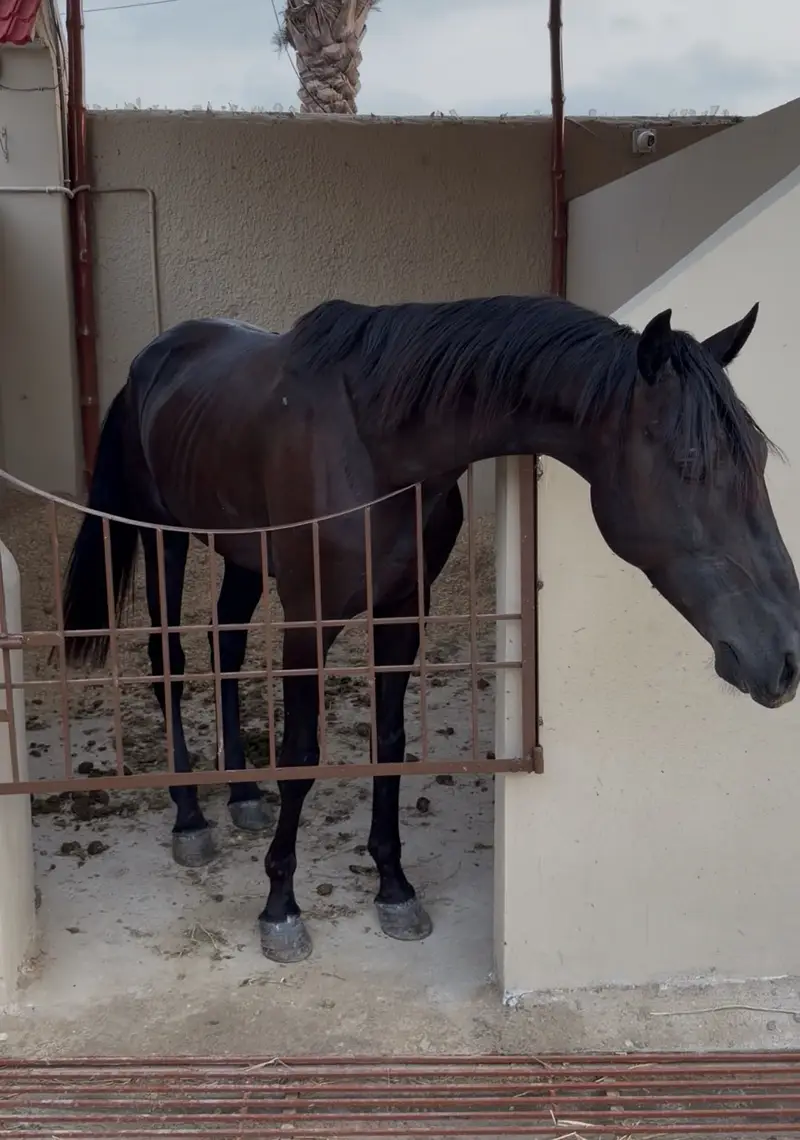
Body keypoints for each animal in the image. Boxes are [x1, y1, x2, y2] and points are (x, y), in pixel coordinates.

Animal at [59, 293, 800, 964]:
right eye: (692, 463)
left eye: (760, 461)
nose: (786, 658)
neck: (376, 445)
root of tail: (151, 361)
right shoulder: (309, 616)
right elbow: (302, 754)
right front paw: (280, 908)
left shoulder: (402, 610)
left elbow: (390, 743)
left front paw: (394, 889)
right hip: (164, 540)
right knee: (171, 664)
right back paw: (189, 816)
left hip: (241, 553)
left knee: (228, 646)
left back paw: (242, 792)